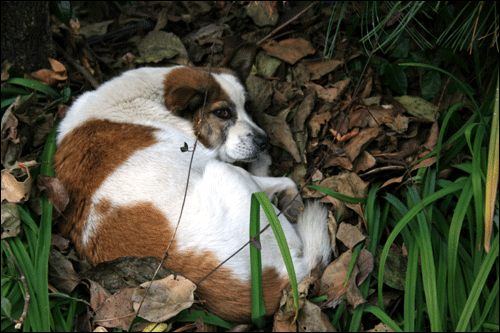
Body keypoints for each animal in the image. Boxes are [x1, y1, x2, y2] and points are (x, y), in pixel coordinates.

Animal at [53, 44, 332, 322]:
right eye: (222, 113)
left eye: (247, 107)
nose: (264, 142)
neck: (148, 98)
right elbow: (283, 179)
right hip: (230, 177)